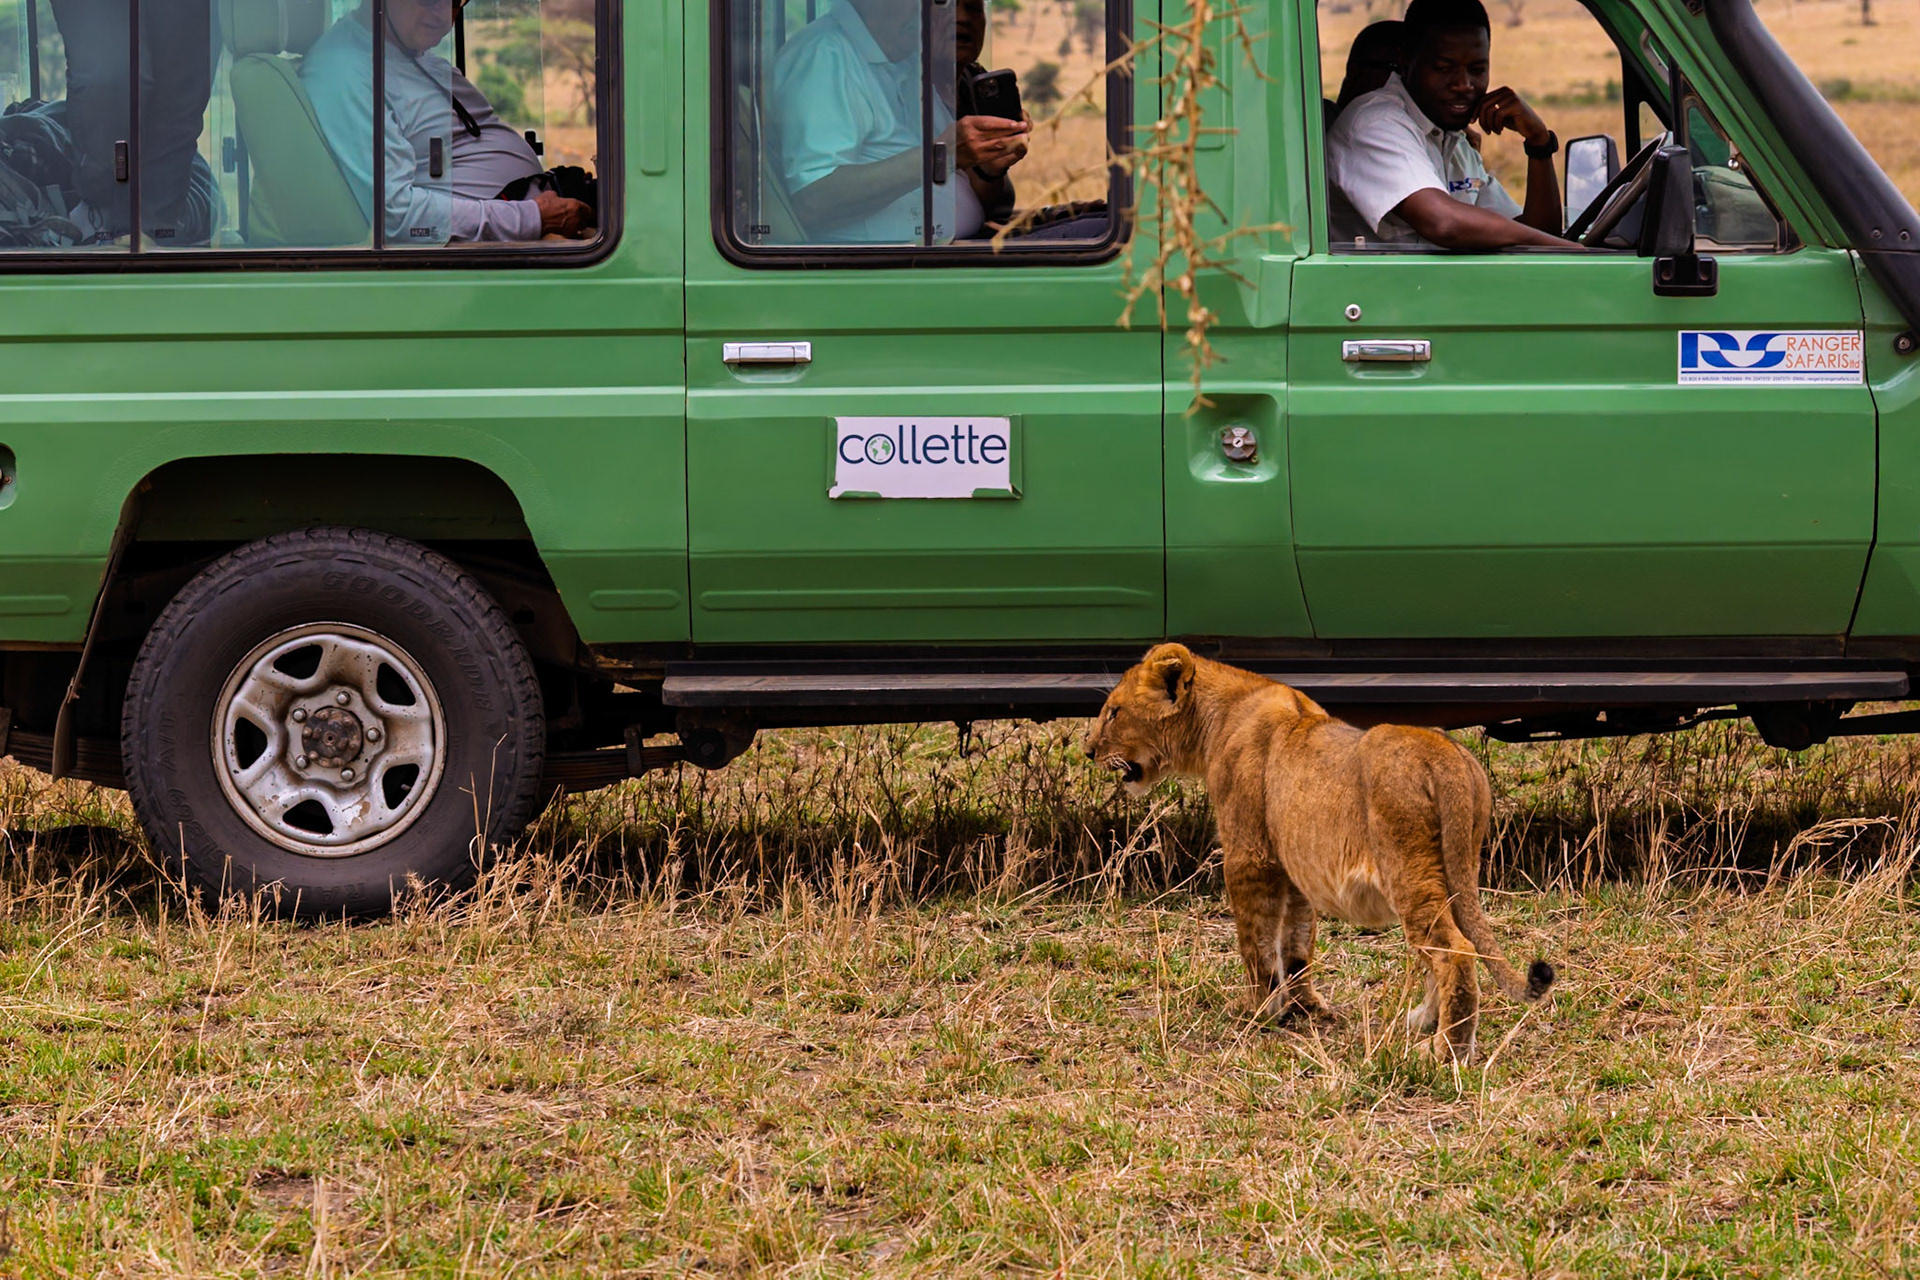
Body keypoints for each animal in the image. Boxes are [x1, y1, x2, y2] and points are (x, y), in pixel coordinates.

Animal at [1084, 643, 1554, 1061]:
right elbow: (1296, 941)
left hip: (1408, 869)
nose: (1088, 751)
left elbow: (1256, 943)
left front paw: (1257, 1011)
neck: (1217, 718)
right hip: (1459, 868)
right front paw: (1304, 1006)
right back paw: (1424, 1021)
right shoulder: (1294, 864)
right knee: (1446, 946)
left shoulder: (1249, 856)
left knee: (1454, 951)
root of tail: (1448, 758)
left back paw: (1446, 1050)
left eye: (1114, 712)